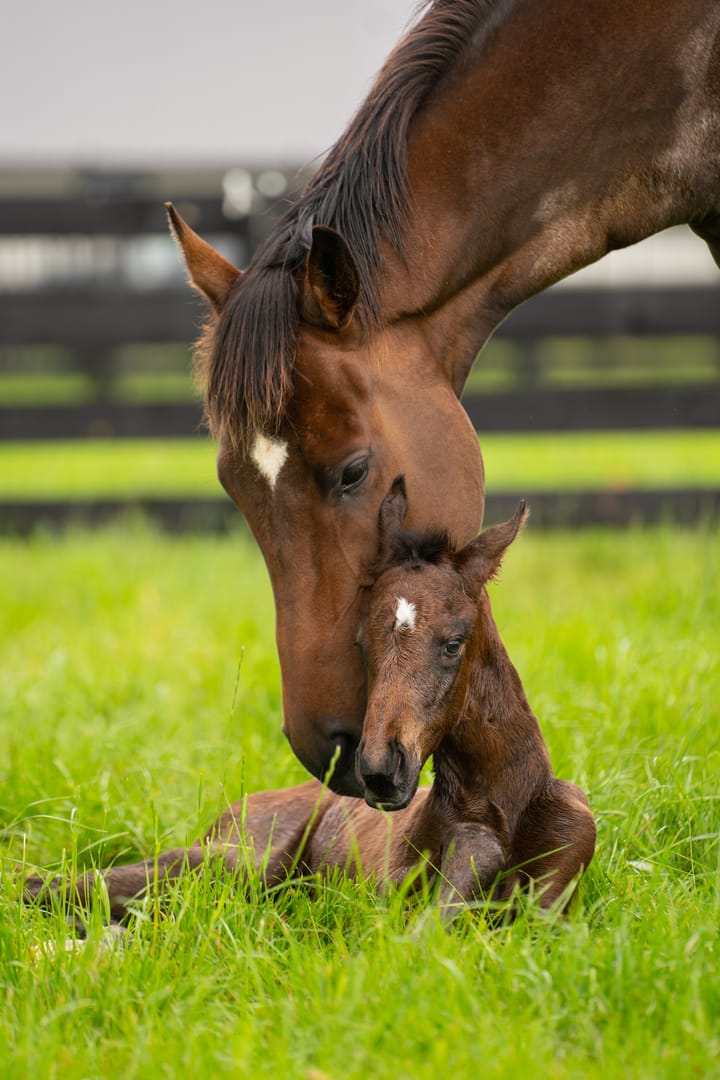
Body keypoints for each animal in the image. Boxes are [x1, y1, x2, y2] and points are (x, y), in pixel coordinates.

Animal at [23, 486, 595, 924]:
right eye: (362, 643)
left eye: (453, 643)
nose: (380, 770)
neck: (505, 805)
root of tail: (237, 808)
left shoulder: (550, 911)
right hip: (234, 862)